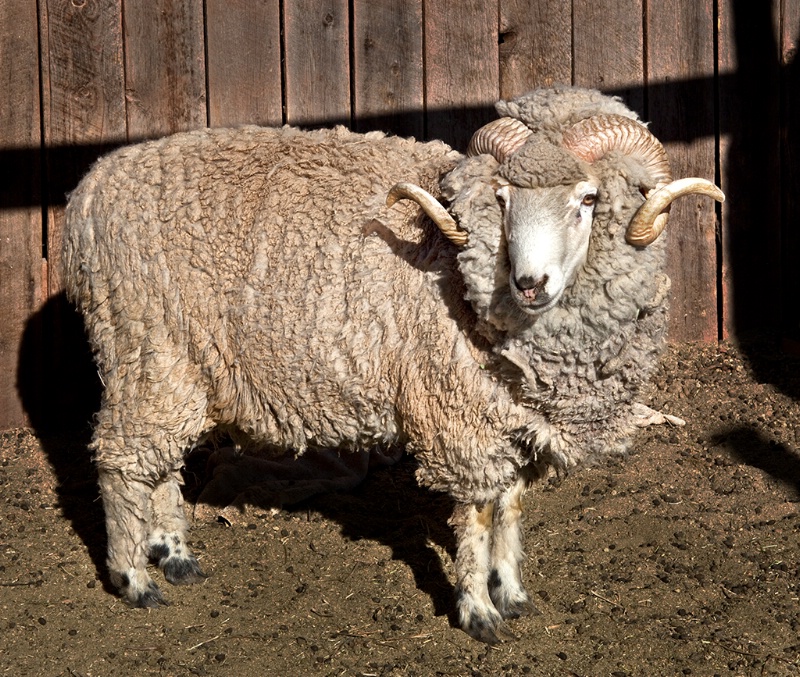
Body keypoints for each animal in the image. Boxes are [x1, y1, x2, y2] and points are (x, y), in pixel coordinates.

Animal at [64, 86, 724, 644]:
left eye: (588, 199)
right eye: (503, 201)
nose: (529, 283)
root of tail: (88, 193)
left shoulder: (509, 416)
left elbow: (509, 506)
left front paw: (511, 593)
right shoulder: (456, 417)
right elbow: (476, 516)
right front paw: (477, 611)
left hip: (175, 368)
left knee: (159, 464)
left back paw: (172, 553)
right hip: (144, 347)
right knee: (120, 460)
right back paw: (133, 577)